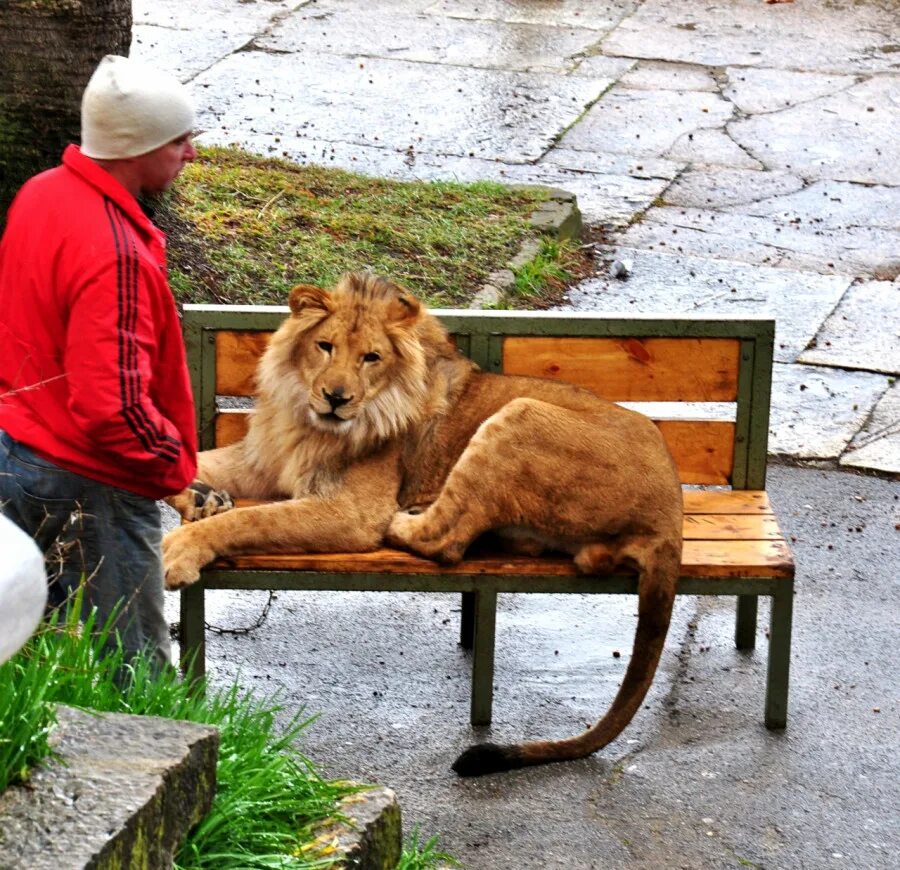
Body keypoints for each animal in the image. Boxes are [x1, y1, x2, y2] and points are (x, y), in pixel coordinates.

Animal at [162, 272, 684, 776]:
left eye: (371, 358)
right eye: (325, 346)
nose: (336, 397)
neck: (309, 421)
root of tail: (670, 512)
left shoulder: (353, 512)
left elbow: (251, 517)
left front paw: (183, 547)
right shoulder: (263, 464)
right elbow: (190, 465)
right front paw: (199, 497)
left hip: (519, 414)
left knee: (446, 539)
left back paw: (409, 515)